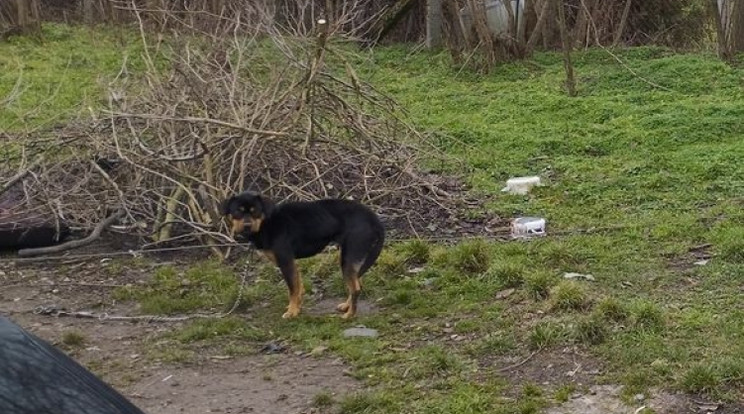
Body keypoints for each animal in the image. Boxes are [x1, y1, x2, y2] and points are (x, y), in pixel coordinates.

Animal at [219, 192, 384, 320]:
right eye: (238, 211)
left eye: (255, 211)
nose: (247, 225)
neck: (267, 223)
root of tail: (373, 217)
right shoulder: (291, 262)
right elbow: (298, 287)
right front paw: (296, 308)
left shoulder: (285, 261)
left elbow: (292, 289)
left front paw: (292, 312)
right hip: (352, 258)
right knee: (357, 283)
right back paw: (347, 306)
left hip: (348, 257)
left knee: (355, 288)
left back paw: (350, 315)